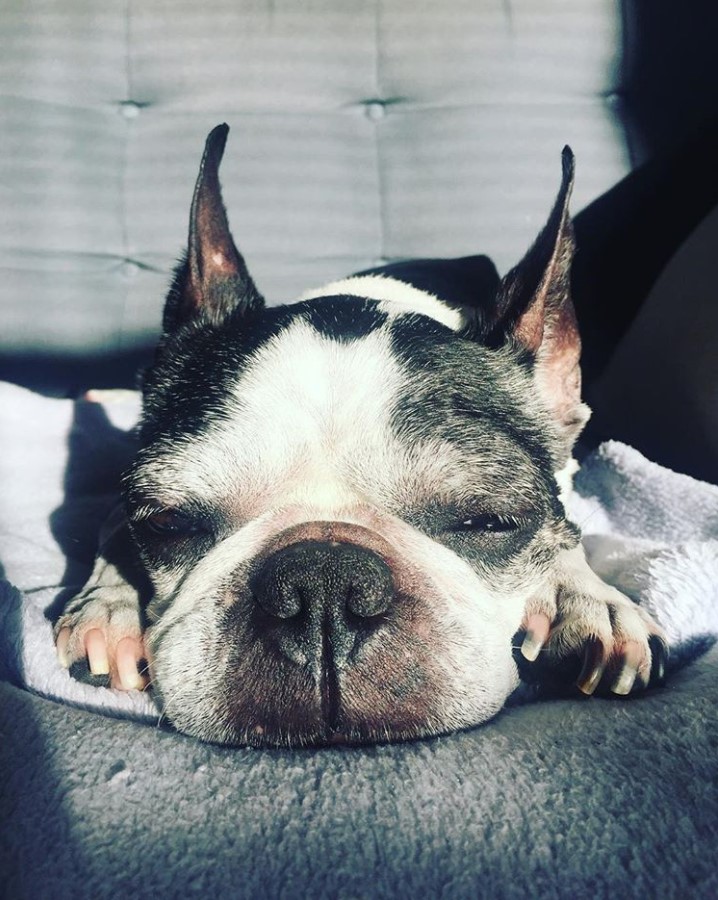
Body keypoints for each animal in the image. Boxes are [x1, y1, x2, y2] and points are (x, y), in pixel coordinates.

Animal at [54, 123, 668, 748]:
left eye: (488, 522)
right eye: (169, 523)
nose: (322, 584)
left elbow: (567, 532)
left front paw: (582, 599)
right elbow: (112, 526)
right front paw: (111, 604)